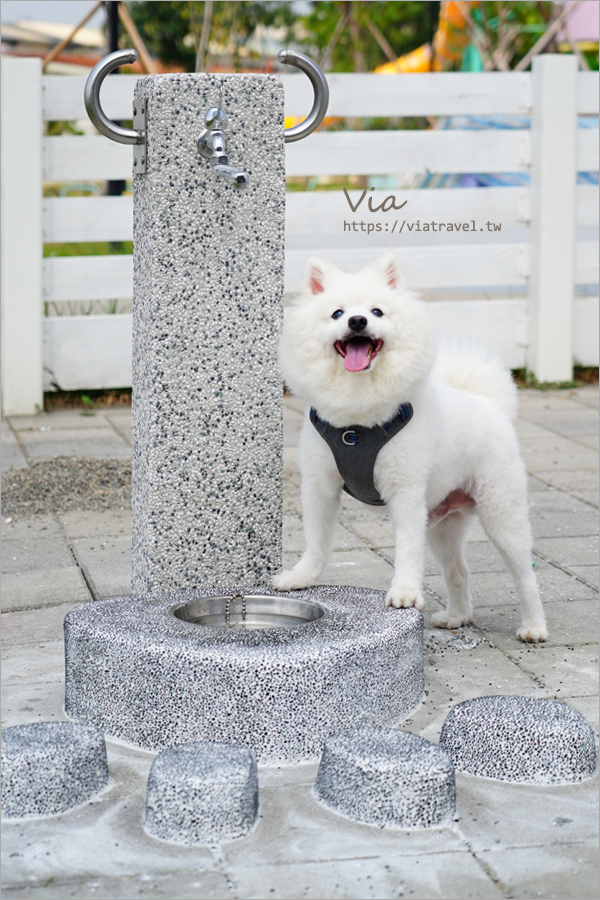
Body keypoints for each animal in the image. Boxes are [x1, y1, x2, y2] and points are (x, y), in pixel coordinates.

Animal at [274, 253, 548, 644]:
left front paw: (404, 593)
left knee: (525, 574)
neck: (358, 421)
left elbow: (406, 549)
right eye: (337, 314)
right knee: (459, 570)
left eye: (376, 311)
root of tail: (491, 404)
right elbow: (317, 541)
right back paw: (456, 616)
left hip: (501, 514)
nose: (357, 321)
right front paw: (301, 576)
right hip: (442, 525)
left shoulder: (404, 492)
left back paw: (534, 626)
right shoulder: (320, 487)